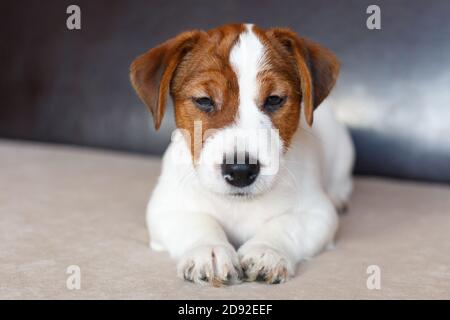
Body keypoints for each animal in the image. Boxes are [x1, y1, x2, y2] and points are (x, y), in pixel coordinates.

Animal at [130, 23, 356, 286]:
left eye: (274, 99)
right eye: (204, 100)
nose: (240, 171)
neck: (239, 204)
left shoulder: (317, 213)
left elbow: (286, 224)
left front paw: (266, 250)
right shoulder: (165, 208)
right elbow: (198, 222)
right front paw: (209, 249)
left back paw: (338, 197)